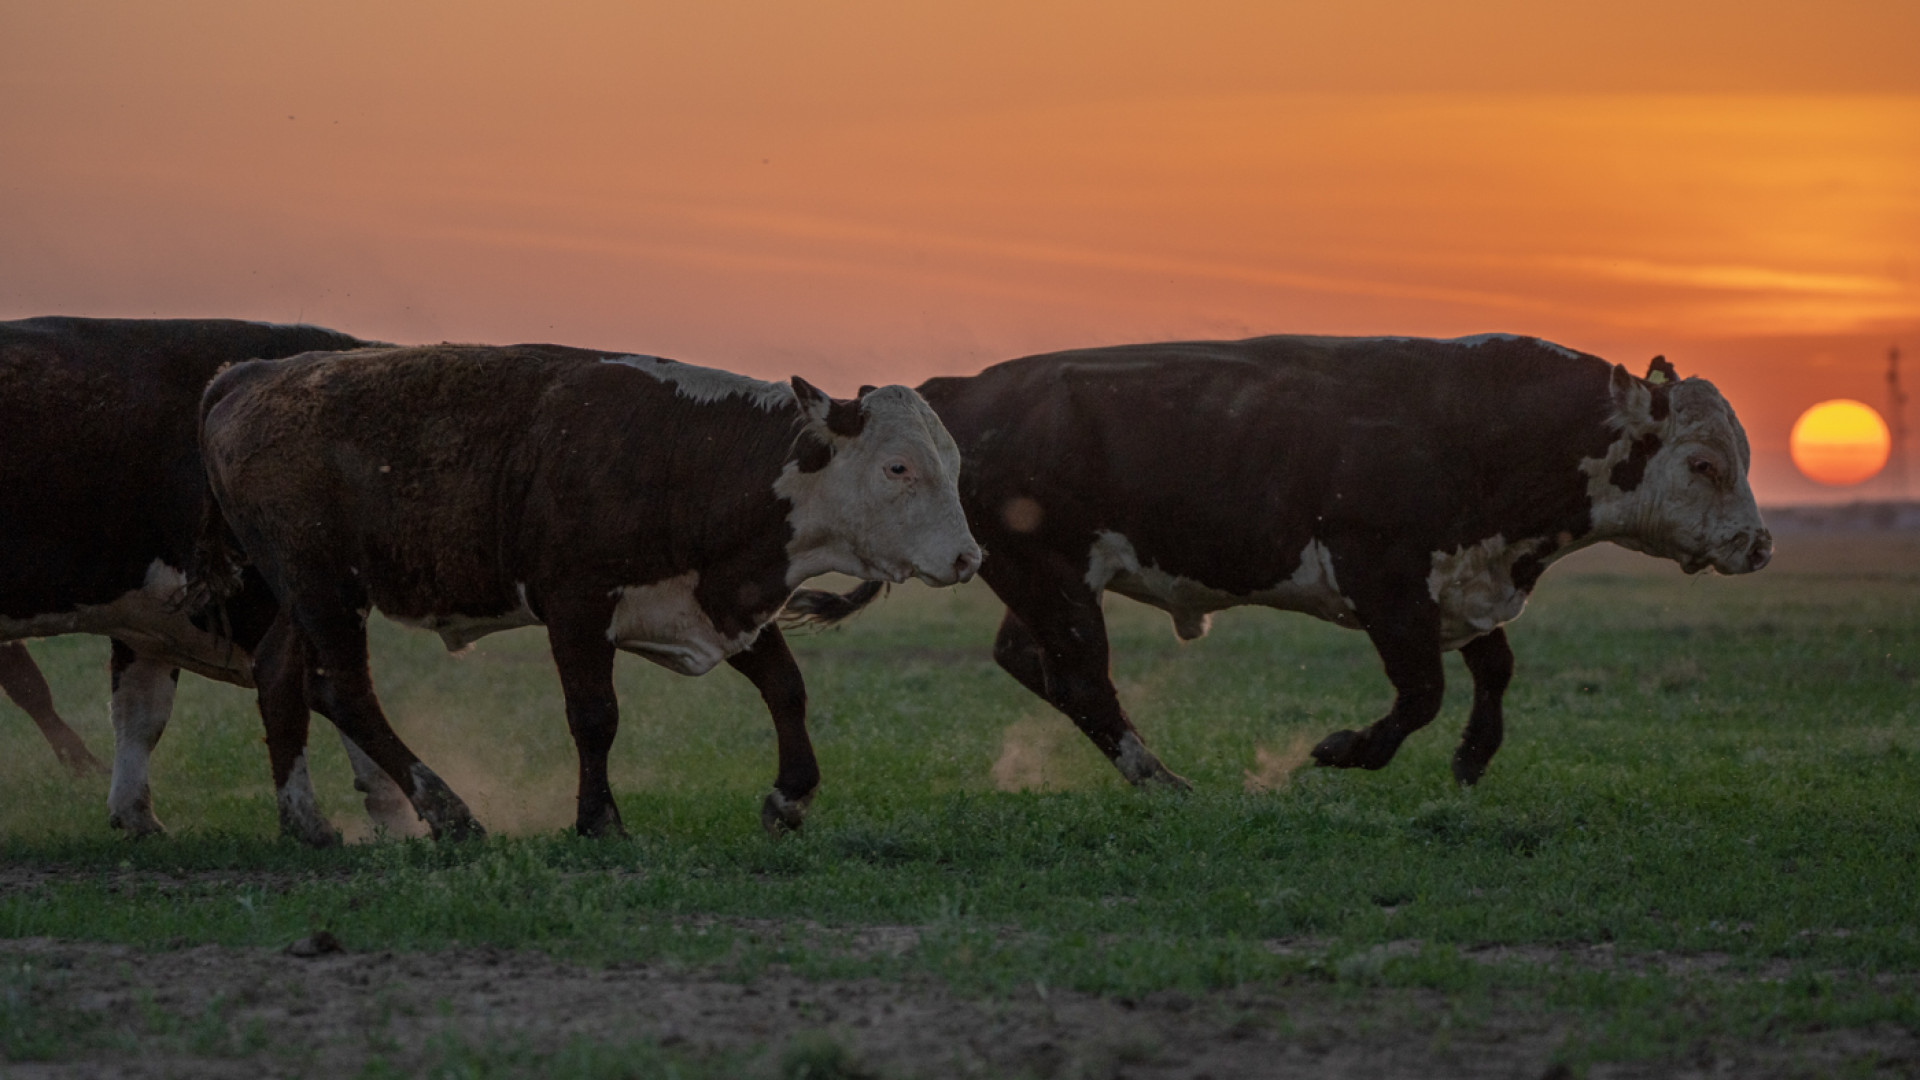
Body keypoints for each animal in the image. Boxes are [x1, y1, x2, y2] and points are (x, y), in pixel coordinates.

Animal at [196, 343, 983, 841]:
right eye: (898, 467)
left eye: (952, 463)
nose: (967, 556)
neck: (691, 455)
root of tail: (247, 377)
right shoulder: (575, 607)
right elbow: (595, 716)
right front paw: (598, 820)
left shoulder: (720, 599)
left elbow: (786, 689)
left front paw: (788, 798)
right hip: (325, 587)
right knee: (346, 691)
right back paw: (447, 811)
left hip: (298, 592)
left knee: (281, 676)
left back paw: (305, 823)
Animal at [787, 332, 1774, 787]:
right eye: (1704, 463)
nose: (1758, 543)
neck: (1477, 426)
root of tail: (958, 390)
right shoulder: (1386, 580)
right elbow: (1422, 690)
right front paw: (1345, 750)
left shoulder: (1461, 583)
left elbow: (1491, 670)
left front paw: (1471, 760)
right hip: (1050, 573)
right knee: (1081, 676)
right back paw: (1162, 780)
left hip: (1043, 578)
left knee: (1032, 661)